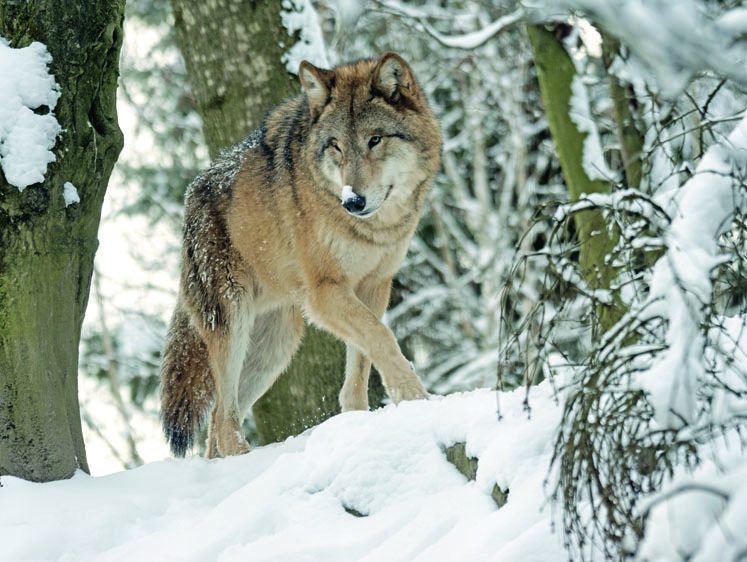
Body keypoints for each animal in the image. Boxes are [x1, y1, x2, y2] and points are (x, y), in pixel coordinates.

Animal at [161, 51, 442, 456]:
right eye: (336, 145)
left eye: (375, 140)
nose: (352, 201)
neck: (372, 230)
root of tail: (190, 197)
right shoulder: (325, 292)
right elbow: (382, 338)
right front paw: (416, 399)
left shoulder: (374, 287)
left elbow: (361, 364)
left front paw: (359, 422)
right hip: (234, 323)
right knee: (223, 419)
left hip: (275, 347)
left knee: (216, 421)